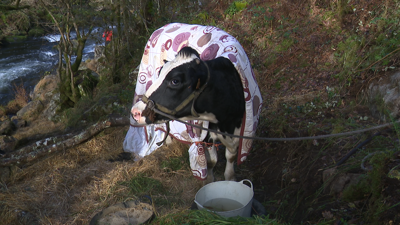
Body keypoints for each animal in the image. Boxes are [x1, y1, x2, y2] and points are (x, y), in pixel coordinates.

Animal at [126, 23, 262, 184]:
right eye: (159, 73)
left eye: (175, 81)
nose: (136, 111)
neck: (225, 121)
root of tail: (165, 25)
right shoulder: (207, 136)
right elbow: (211, 161)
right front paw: (209, 179)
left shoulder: (239, 132)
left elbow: (231, 156)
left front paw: (230, 178)